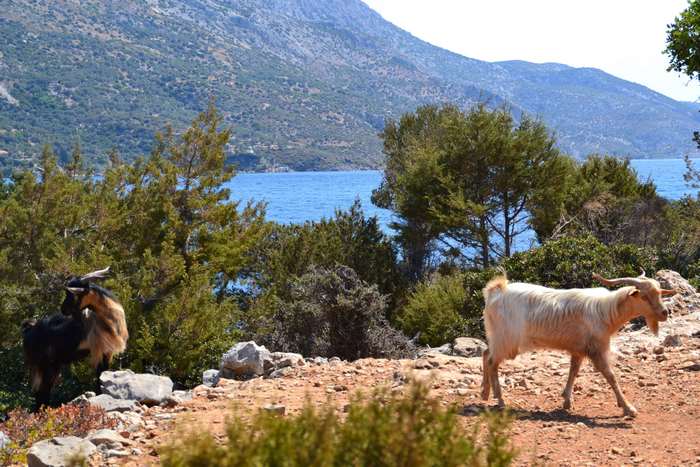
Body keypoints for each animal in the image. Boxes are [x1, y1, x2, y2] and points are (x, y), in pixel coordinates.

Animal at [21, 267, 128, 409]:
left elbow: (103, 373)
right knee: (42, 391)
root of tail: (29, 330)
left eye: (72, 294)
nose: (63, 310)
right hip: (44, 364)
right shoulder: (98, 350)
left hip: (51, 365)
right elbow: (99, 375)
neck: (106, 320)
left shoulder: (107, 352)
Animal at [480, 271, 676, 417]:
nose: (665, 313)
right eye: (644, 296)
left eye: (659, 293)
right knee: (491, 361)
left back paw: (485, 393)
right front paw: (628, 408)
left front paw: (567, 400)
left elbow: (573, 371)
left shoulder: (579, 349)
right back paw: (500, 400)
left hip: (498, 338)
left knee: (486, 354)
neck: (606, 311)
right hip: (506, 340)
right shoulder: (597, 349)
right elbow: (610, 375)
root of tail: (496, 291)